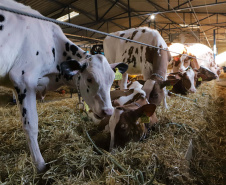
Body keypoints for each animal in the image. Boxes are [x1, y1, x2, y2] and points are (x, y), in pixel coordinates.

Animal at [0, 0, 127, 173]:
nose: (108, 111)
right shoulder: (22, 79)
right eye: (89, 78)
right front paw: (40, 165)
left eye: (112, 79)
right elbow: (31, 126)